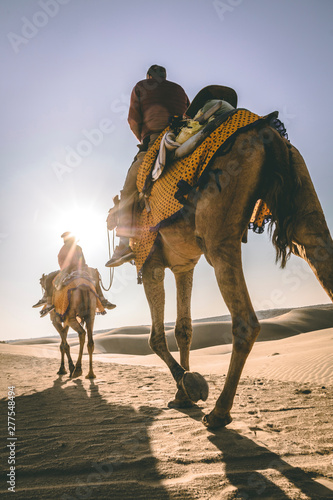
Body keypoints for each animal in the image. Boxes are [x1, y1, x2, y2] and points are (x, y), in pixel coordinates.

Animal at [140, 123, 332, 428]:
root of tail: (268, 133)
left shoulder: (149, 261)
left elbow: (155, 338)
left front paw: (190, 385)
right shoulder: (184, 266)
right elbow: (184, 329)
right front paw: (183, 395)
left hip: (220, 228)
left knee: (245, 322)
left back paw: (219, 412)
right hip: (304, 205)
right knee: (315, 247)